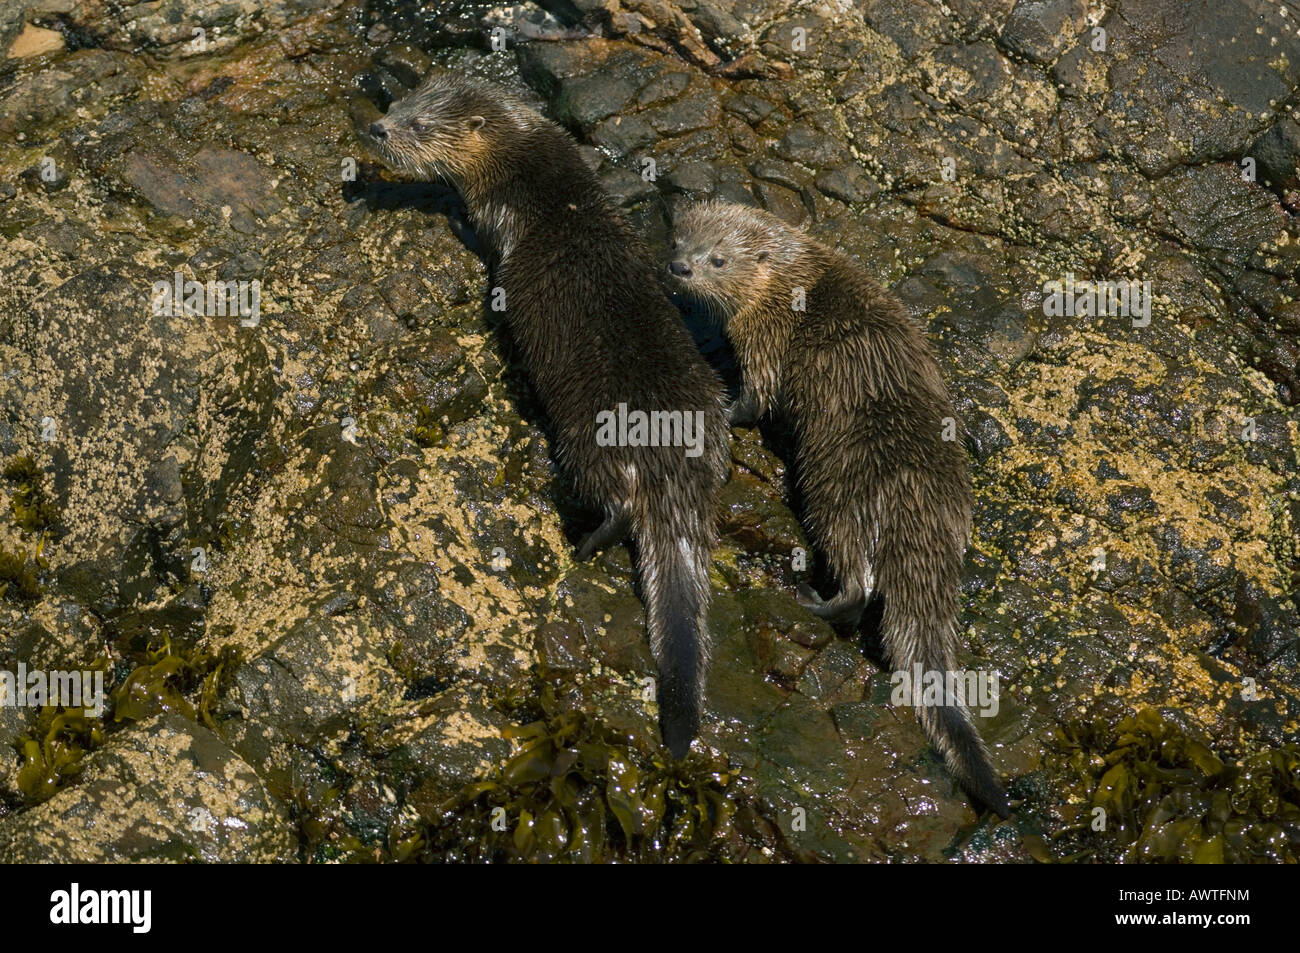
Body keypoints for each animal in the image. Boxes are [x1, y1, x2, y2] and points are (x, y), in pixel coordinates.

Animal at [366, 72, 733, 759]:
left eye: (418, 125)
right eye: (402, 101)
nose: (376, 128)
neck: (545, 183)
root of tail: (671, 459)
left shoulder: (499, 217)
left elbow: (480, 237)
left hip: (590, 442)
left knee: (617, 506)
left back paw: (582, 546)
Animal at [665, 202, 1008, 816]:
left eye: (718, 259)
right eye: (678, 238)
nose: (679, 268)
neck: (794, 278)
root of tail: (912, 498)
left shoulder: (766, 335)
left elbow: (756, 397)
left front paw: (722, 409)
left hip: (835, 491)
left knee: (858, 581)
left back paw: (811, 597)